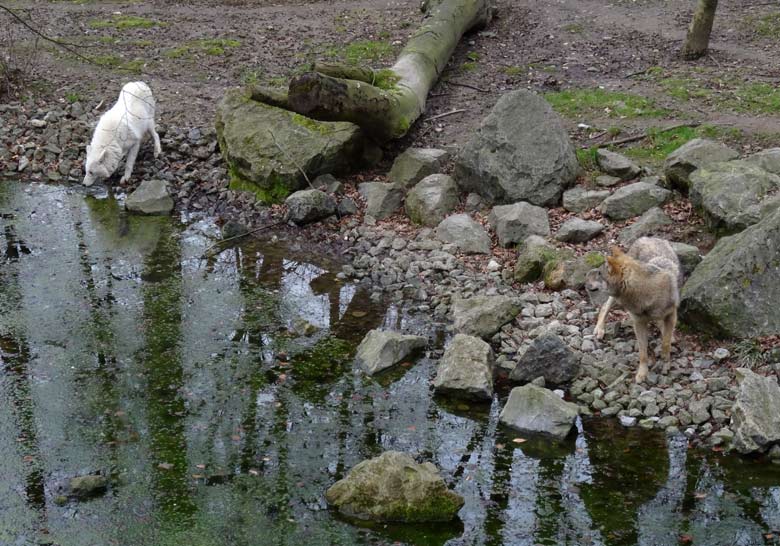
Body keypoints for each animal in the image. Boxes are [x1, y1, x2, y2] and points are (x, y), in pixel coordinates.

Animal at [596, 238, 680, 382]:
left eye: (599, 274)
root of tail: (646, 237)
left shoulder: (671, 315)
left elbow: (666, 342)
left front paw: (665, 360)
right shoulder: (638, 323)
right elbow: (642, 353)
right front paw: (642, 373)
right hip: (614, 300)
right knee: (604, 307)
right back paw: (599, 329)